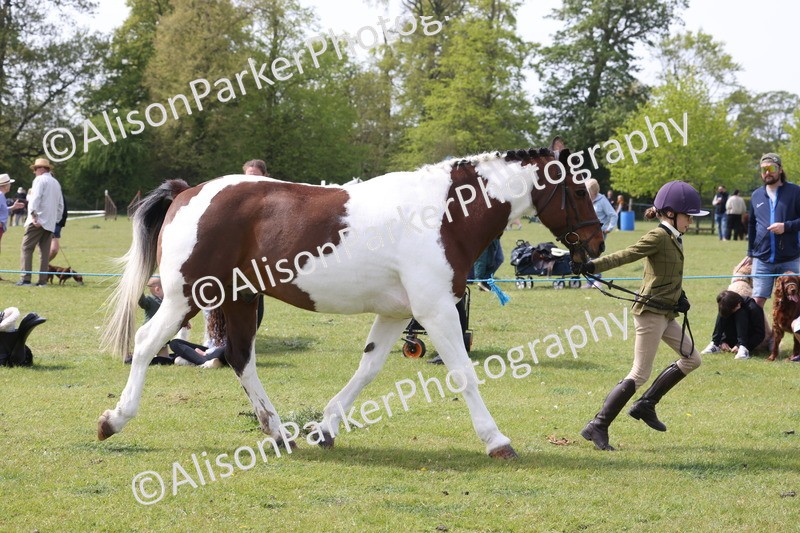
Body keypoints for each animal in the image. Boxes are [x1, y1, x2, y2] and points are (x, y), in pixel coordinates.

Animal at [98, 147, 604, 459]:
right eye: (579, 189)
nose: (597, 245)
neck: (445, 214)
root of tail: (187, 191)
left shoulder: (397, 314)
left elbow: (368, 369)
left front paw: (325, 429)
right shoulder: (436, 310)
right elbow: (463, 372)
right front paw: (496, 440)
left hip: (238, 299)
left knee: (240, 358)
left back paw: (278, 433)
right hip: (188, 296)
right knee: (147, 342)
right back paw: (115, 420)